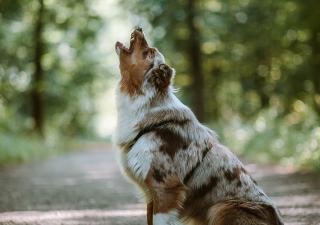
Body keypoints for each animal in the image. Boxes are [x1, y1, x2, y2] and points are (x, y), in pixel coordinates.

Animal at [113, 27, 282, 225]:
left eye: (148, 52)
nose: (139, 28)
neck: (144, 103)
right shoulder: (151, 194)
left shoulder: (166, 188)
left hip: (220, 208)